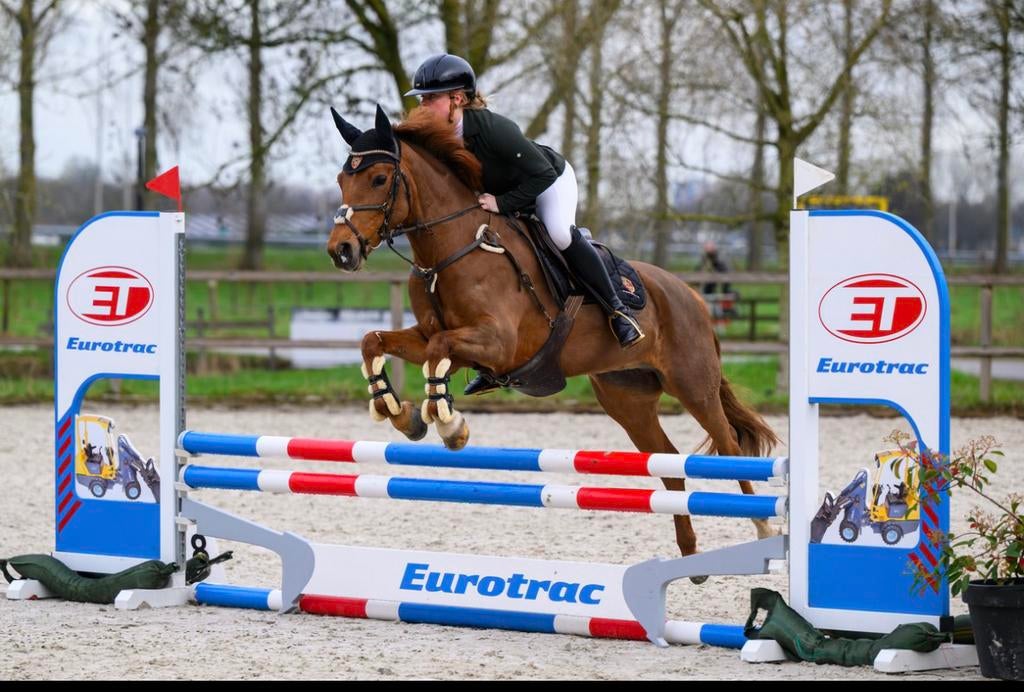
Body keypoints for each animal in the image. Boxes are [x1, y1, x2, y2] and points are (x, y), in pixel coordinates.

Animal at [326, 105, 780, 561]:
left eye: (379, 178)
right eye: (342, 180)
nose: (340, 251)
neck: (450, 249)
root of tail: (693, 296)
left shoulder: (498, 343)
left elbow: (439, 350)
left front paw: (449, 424)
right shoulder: (438, 339)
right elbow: (375, 341)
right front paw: (399, 412)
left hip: (693, 385)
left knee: (729, 447)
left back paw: (761, 527)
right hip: (627, 399)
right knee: (668, 463)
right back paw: (691, 556)